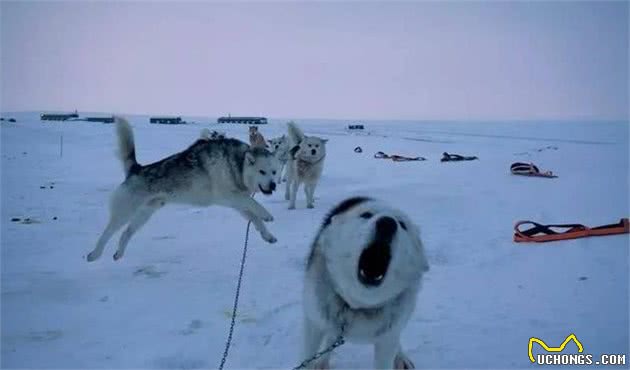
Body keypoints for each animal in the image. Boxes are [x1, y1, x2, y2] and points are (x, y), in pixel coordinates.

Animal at [87, 117, 282, 262]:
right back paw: (94, 254)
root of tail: (137, 169)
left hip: (144, 214)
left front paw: (268, 235)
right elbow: (254, 204)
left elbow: (255, 219)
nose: (273, 185)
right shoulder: (230, 196)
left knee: (126, 233)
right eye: (262, 172)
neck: (236, 164)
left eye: (274, 172)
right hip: (124, 212)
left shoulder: (237, 203)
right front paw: (267, 214)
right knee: (107, 233)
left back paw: (119, 253)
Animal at [304, 197, 432, 368]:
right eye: (366, 215)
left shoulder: (387, 340)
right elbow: (306, 356)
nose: (387, 223)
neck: (358, 305)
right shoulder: (313, 324)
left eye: (402, 224)